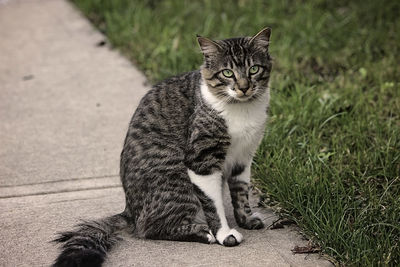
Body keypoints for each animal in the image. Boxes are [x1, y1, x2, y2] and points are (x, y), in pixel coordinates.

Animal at [52, 27, 272, 267]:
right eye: (227, 73)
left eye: (253, 69)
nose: (244, 88)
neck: (242, 111)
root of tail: (130, 212)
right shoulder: (201, 160)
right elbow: (214, 204)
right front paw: (225, 234)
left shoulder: (244, 156)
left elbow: (241, 192)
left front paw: (246, 219)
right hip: (177, 180)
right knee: (148, 228)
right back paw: (202, 233)